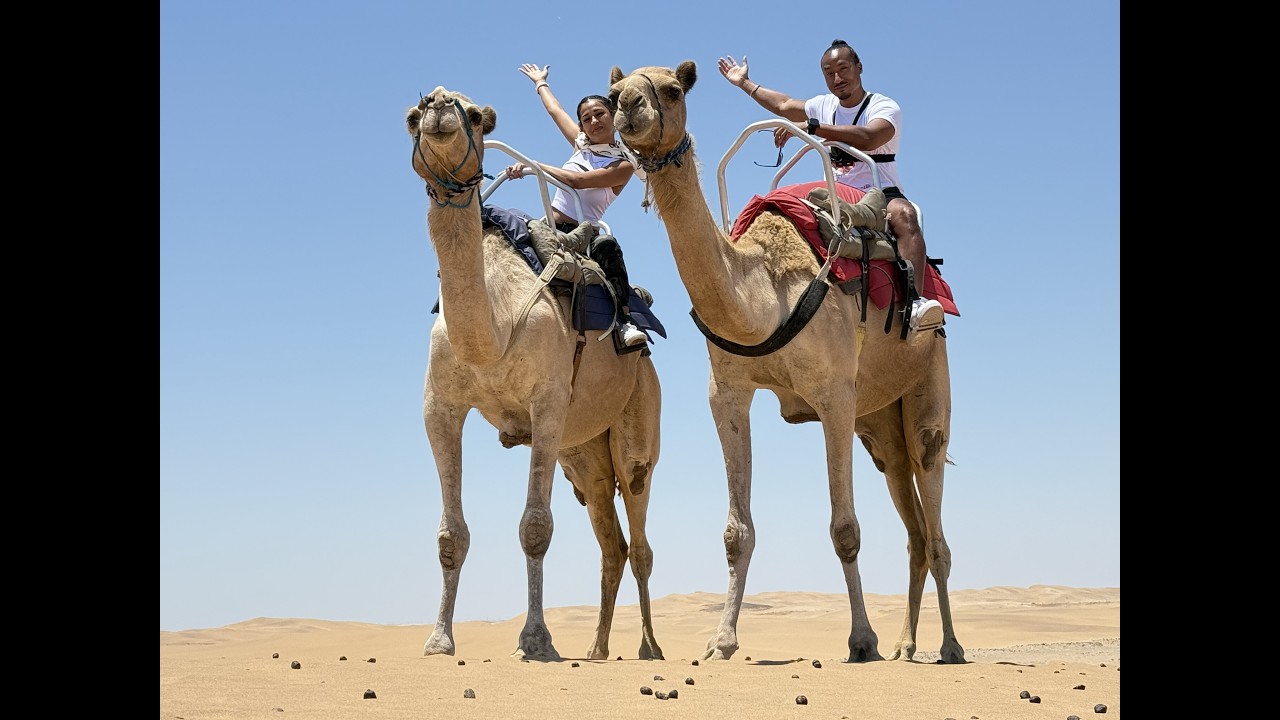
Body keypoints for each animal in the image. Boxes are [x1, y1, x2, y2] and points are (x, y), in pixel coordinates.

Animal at [405, 86, 663, 662]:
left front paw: (536, 640)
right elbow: (450, 534)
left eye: (476, 115)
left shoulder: (546, 406)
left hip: (637, 420)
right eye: (412, 115)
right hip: (581, 453)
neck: (493, 331)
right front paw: (438, 640)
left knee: (639, 532)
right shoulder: (439, 408)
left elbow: (535, 527)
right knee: (610, 539)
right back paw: (597, 648)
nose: (437, 104)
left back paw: (649, 648)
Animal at [608, 63, 964, 664]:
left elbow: (845, 528)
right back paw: (906, 645)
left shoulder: (834, 394)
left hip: (928, 379)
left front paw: (861, 640)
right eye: (613, 94)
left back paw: (950, 647)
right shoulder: (727, 392)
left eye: (673, 90)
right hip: (880, 424)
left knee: (935, 510)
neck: (764, 294)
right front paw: (721, 641)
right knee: (912, 521)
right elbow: (737, 532)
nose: (630, 106)